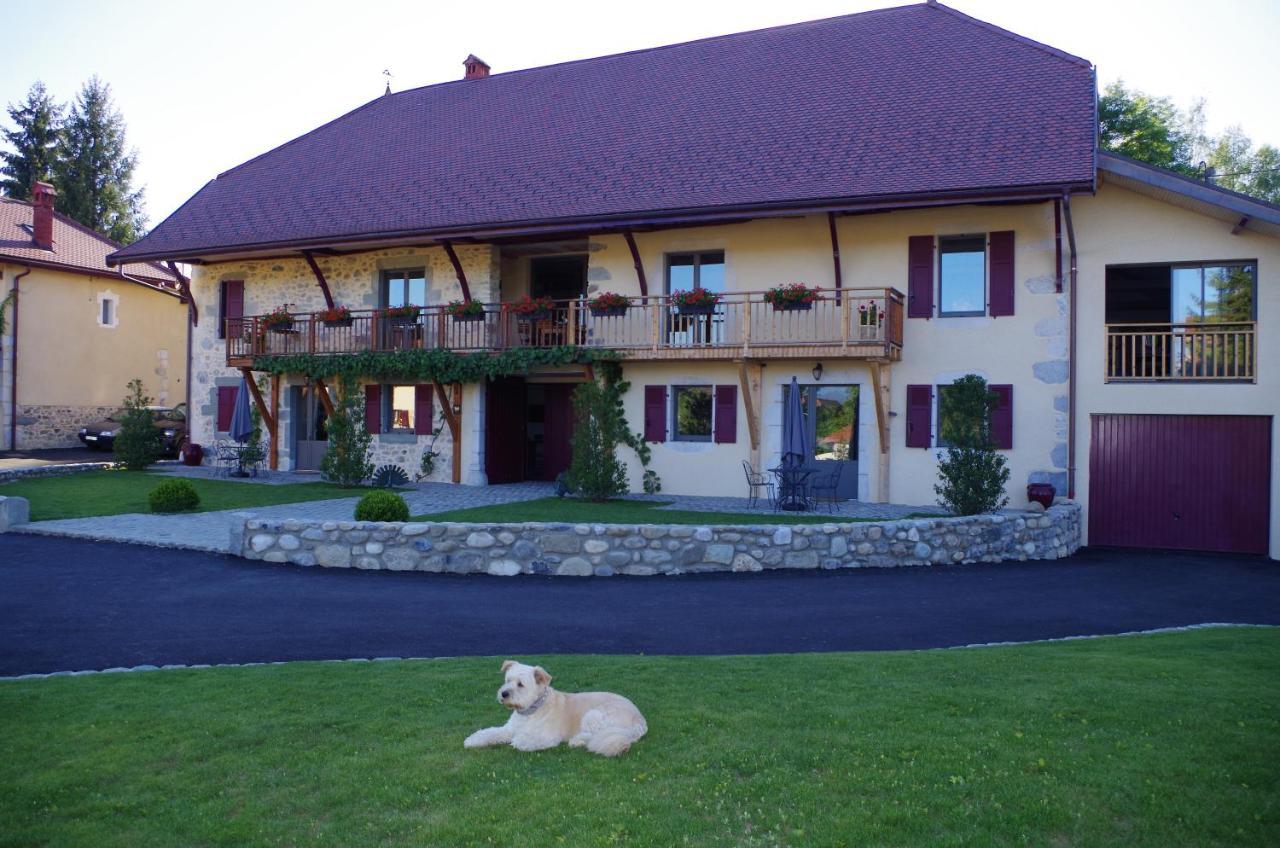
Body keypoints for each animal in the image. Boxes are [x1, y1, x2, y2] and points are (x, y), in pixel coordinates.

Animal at [463, 660, 650, 758]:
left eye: (520, 684)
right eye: (507, 680)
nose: (504, 693)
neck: (531, 710)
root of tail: (640, 718)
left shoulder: (547, 737)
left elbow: (521, 740)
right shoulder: (508, 729)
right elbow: (490, 733)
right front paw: (473, 740)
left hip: (595, 715)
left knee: (593, 735)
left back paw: (577, 740)